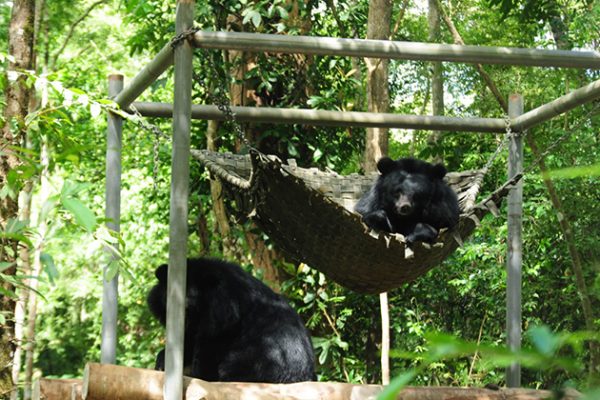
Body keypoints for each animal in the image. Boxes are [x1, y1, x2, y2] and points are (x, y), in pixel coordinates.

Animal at [148, 258, 316, 382]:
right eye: (170, 300)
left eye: (191, 302)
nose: (183, 317)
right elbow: (188, 341)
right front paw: (163, 362)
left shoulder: (225, 317)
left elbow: (209, 346)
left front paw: (199, 373)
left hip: (263, 357)